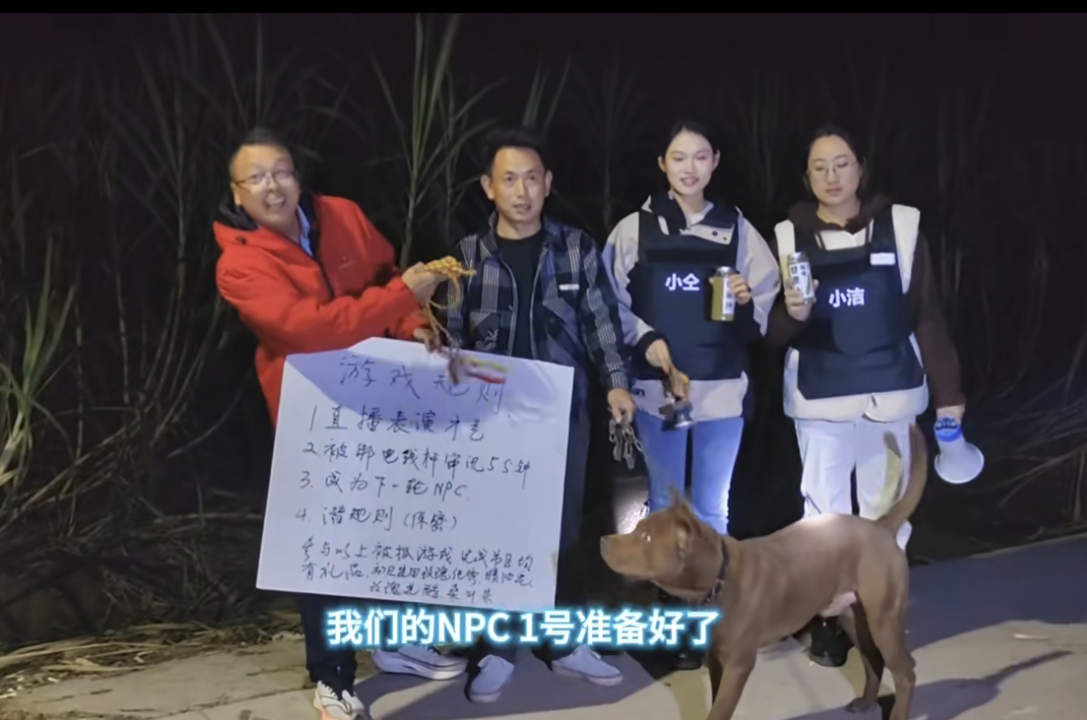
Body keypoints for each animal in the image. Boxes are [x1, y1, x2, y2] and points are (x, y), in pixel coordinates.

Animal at [601, 424, 927, 720]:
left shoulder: (739, 664)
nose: (603, 540)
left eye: (646, 538)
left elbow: (719, 710)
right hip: (854, 617)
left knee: (906, 671)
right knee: (874, 660)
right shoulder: (717, 660)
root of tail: (880, 526)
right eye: (639, 530)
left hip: (883, 620)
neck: (720, 581)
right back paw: (867, 702)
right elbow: (717, 701)